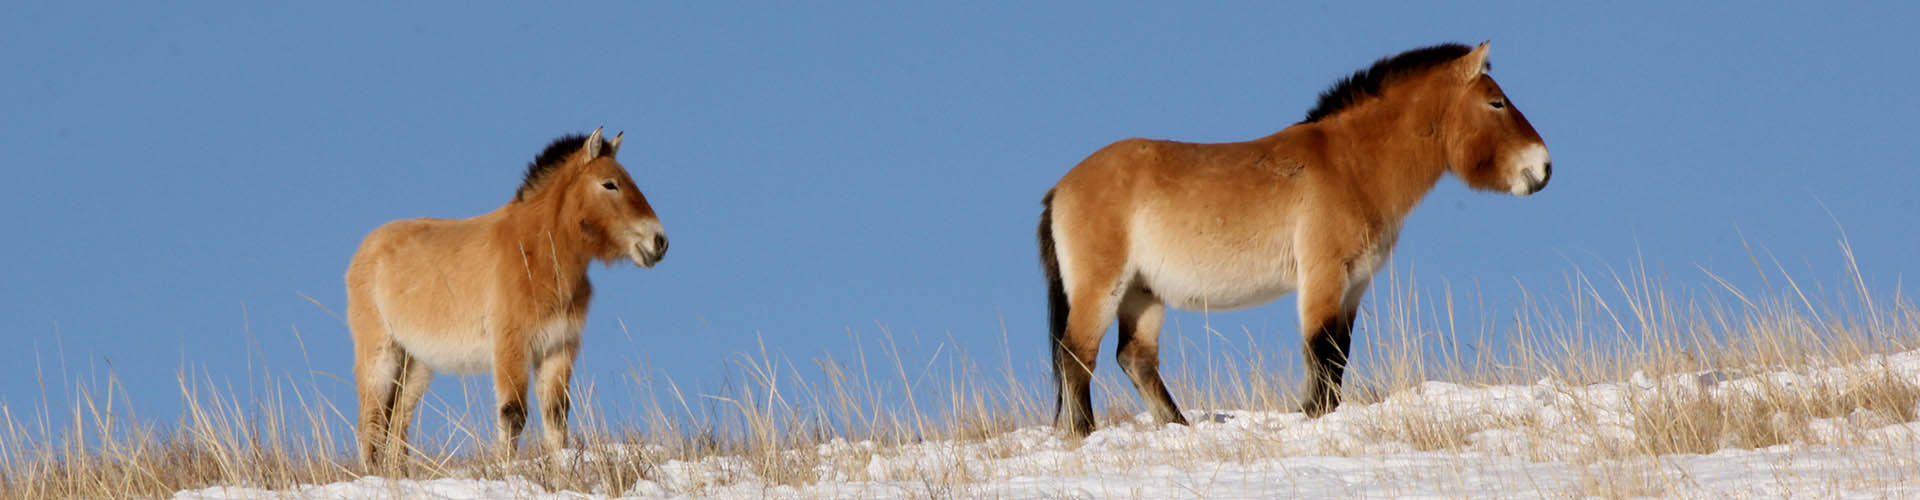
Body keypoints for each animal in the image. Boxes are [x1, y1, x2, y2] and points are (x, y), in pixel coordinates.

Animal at [345, 127, 668, 465]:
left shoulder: (558, 350)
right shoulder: (512, 350)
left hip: (417, 364)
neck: (537, 255)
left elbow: (556, 417)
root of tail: (366, 249)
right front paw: (506, 467)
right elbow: (513, 415)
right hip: (380, 357)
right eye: (609, 184)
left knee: (396, 425)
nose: (659, 241)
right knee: (371, 423)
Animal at [1044, 42, 1551, 432]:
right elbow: (1320, 352)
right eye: (1496, 102)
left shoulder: (1355, 285)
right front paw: (1314, 416)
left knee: (1135, 359)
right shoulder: (1323, 276)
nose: (1543, 167)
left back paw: (1177, 427)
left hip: (1142, 294)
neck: (1350, 165)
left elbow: (1337, 357)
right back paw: (1084, 432)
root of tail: (1061, 188)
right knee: (1077, 356)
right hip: (1102, 289)